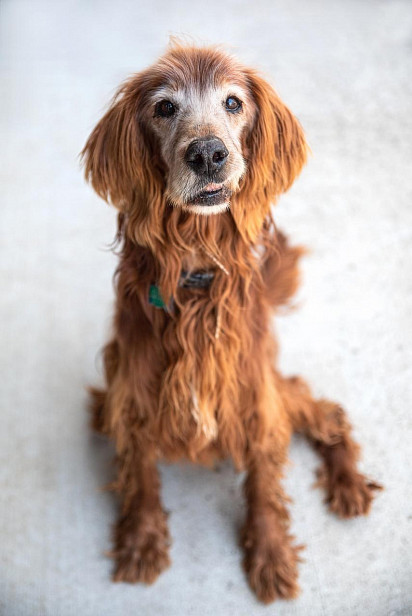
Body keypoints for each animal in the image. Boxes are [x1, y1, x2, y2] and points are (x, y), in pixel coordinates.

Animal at [82, 42, 382, 600]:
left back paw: (348, 483)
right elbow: (140, 475)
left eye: (233, 102)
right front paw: (141, 542)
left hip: (280, 389)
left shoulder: (255, 398)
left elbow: (264, 484)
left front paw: (269, 554)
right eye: (164, 107)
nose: (207, 154)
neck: (197, 273)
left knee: (326, 411)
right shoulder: (131, 395)